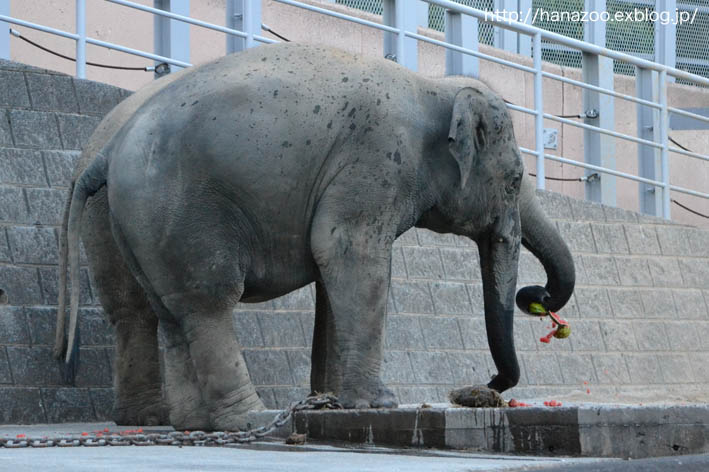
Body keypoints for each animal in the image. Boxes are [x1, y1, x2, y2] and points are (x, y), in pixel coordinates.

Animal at [55, 42, 576, 430]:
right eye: (515, 180)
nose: (486, 386)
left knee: (164, 312)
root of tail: (105, 151)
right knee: (207, 301)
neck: (434, 86)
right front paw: (378, 404)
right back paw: (247, 419)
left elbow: (333, 272)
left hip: (140, 221)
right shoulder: (375, 161)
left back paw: (187, 423)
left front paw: (335, 402)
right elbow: (349, 253)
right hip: (179, 209)